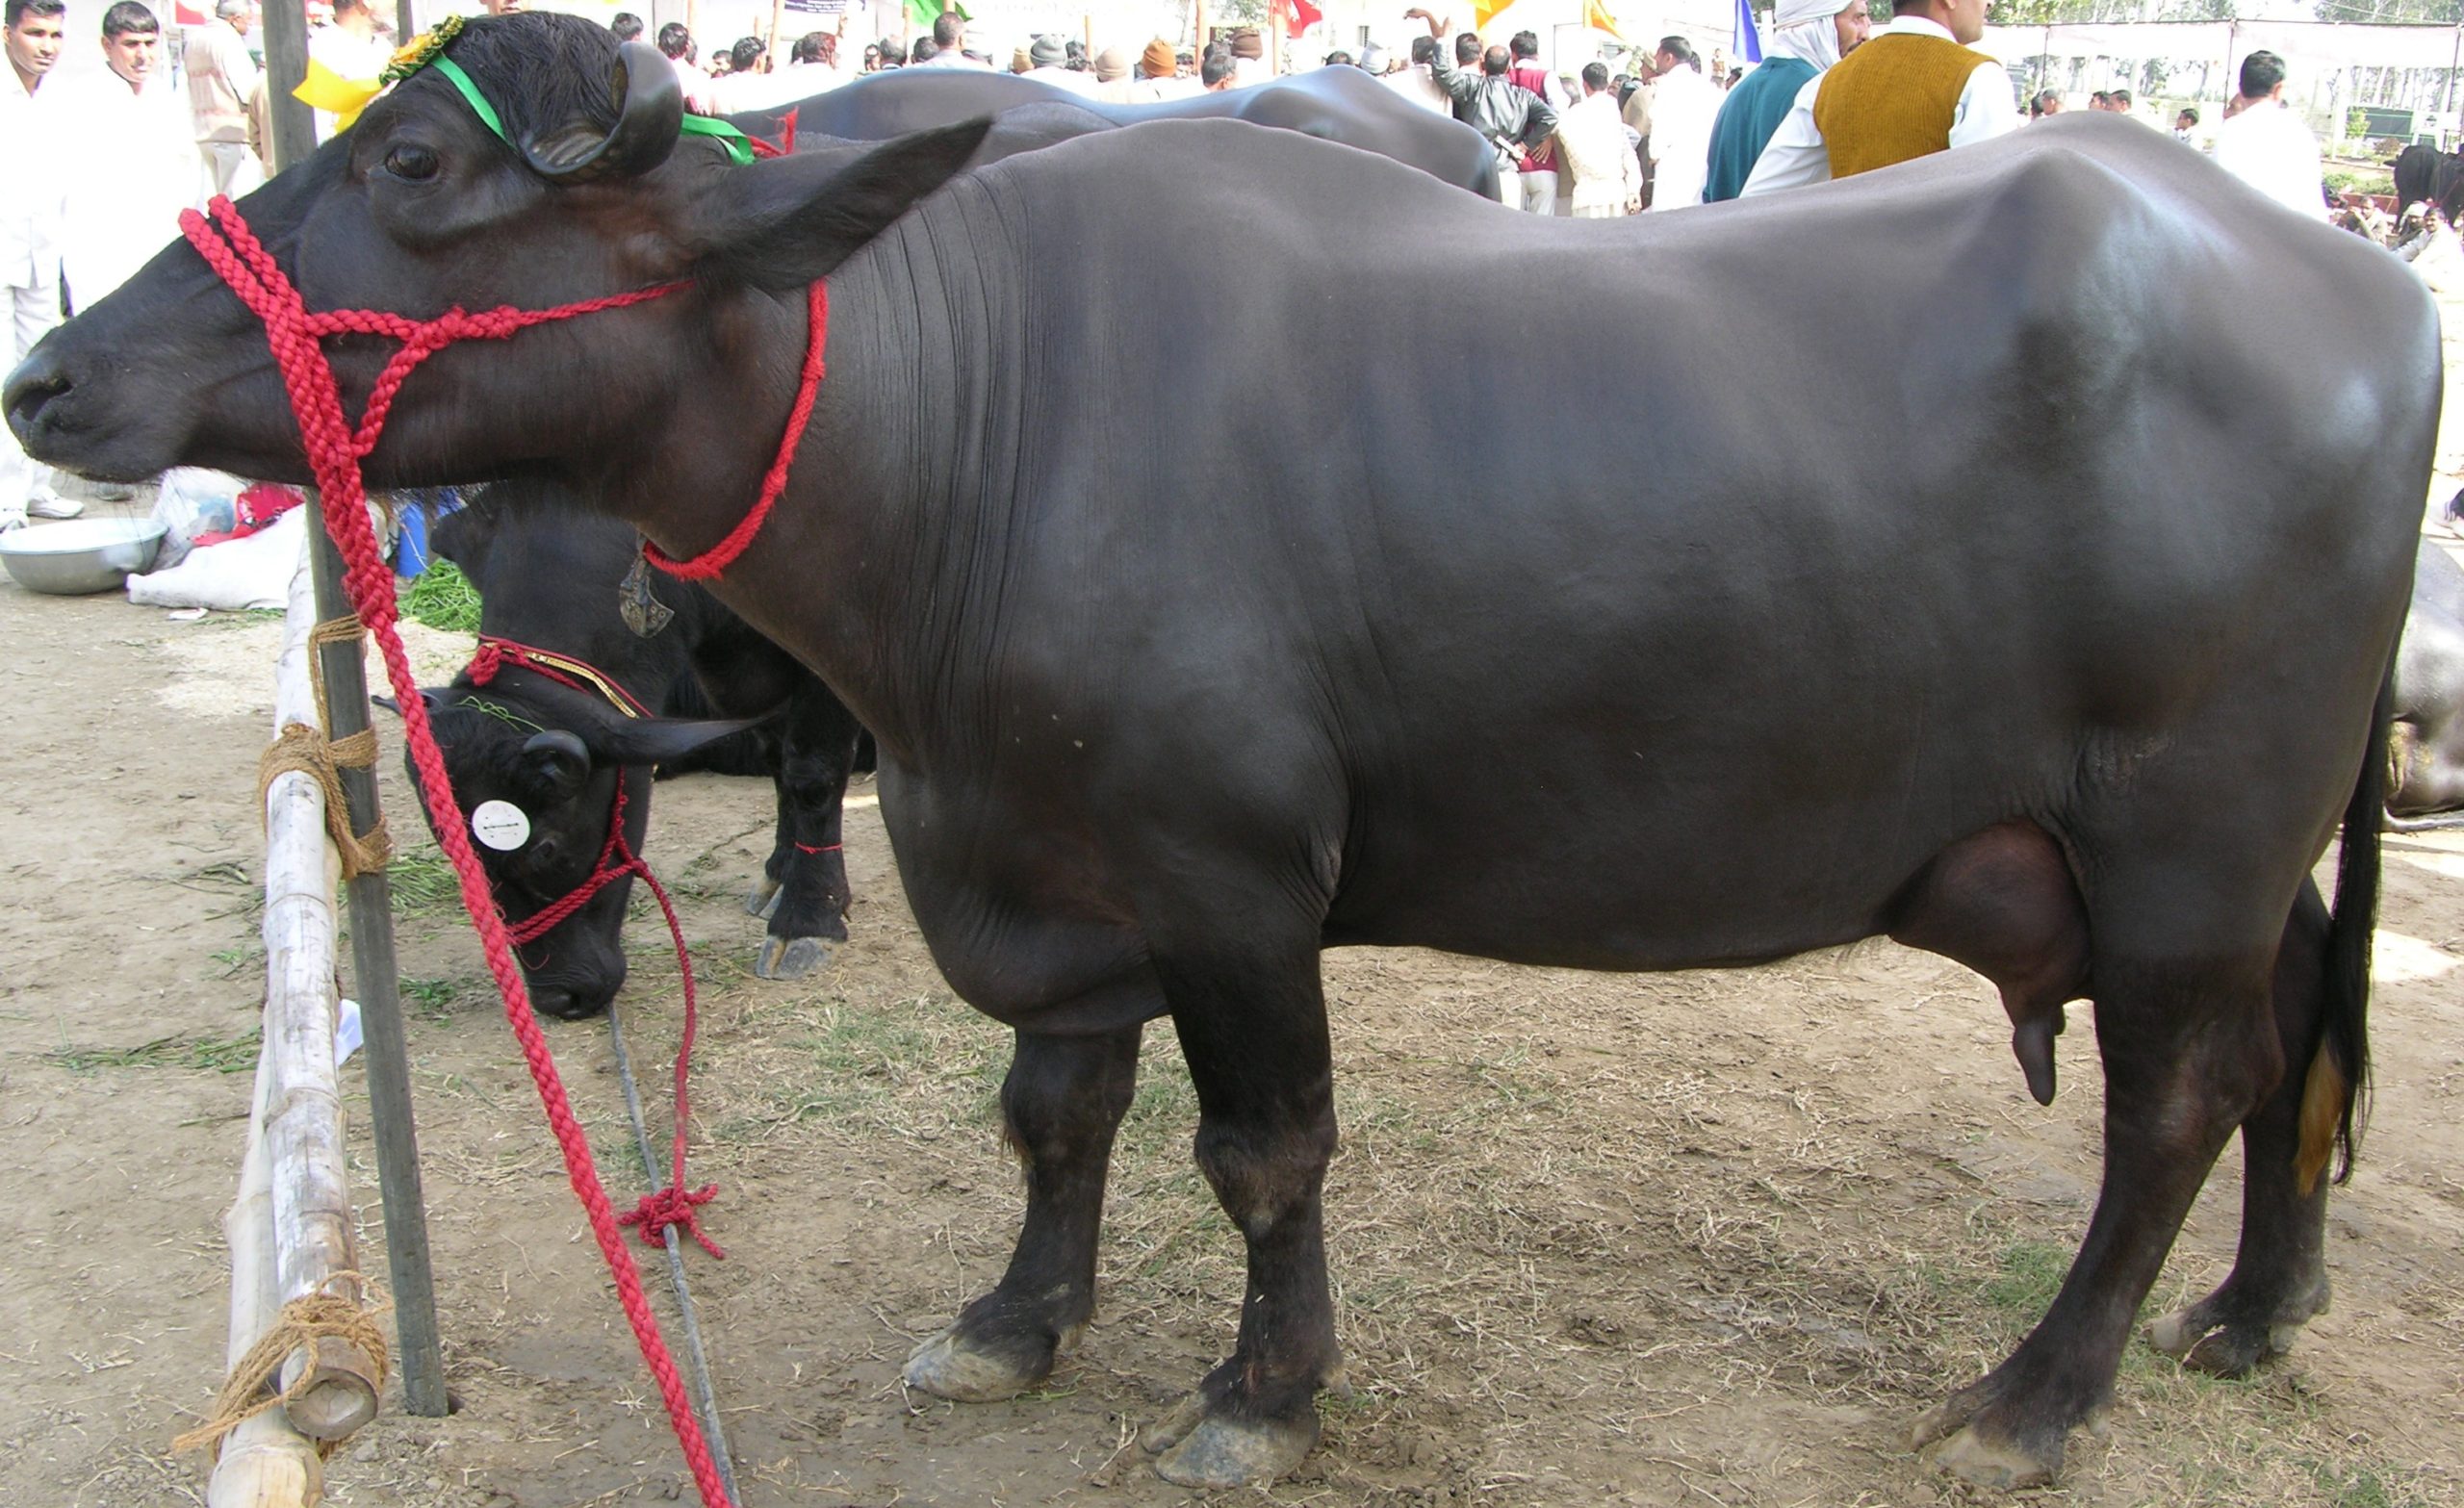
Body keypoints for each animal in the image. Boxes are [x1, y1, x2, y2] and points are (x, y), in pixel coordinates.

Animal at [421, 493, 877, 1014]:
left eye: (544, 848)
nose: (559, 997)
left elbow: (812, 777)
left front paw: (808, 917)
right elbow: (779, 765)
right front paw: (780, 874)